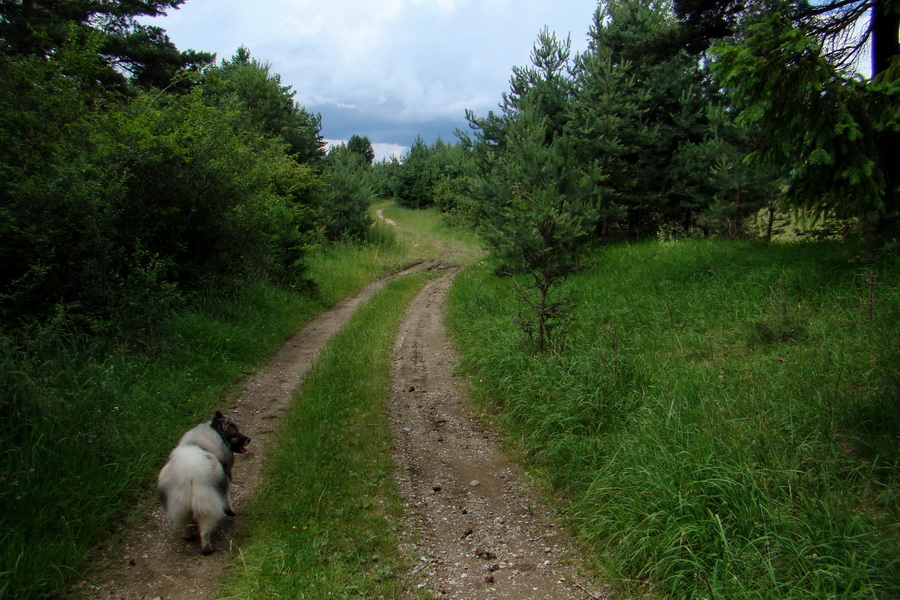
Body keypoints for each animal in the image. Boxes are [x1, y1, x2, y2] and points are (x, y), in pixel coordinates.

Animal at [156, 412, 251, 552]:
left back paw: (188, 536)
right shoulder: (223, 483)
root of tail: (187, 471)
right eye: (234, 435)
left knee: (186, 525)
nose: (249, 439)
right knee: (205, 530)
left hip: (178, 504)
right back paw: (207, 549)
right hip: (206, 503)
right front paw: (231, 512)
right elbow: (227, 500)